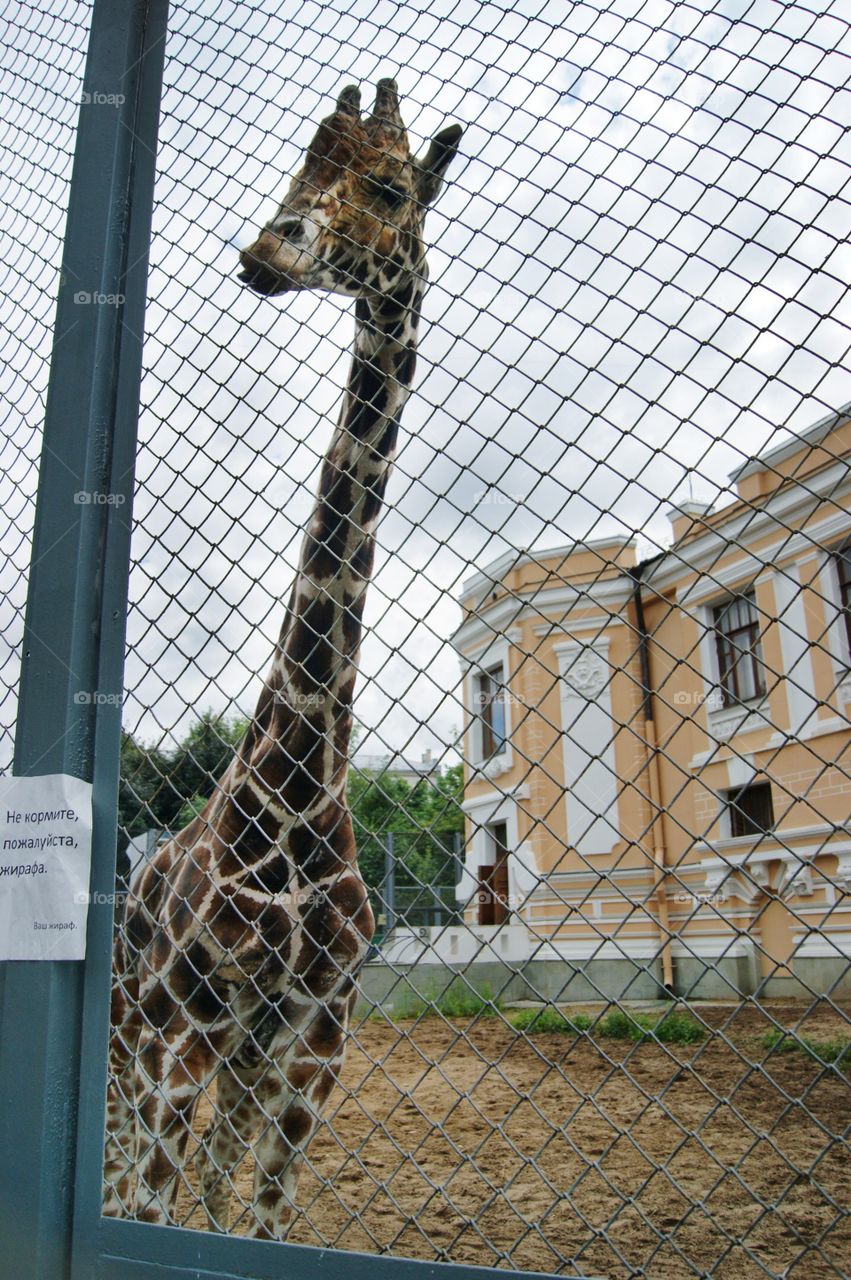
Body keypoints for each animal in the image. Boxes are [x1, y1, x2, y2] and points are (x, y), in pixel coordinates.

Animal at [104, 79, 462, 1240]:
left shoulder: (311, 1046)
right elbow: (148, 1213)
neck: (305, 788)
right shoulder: (183, 1035)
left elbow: (252, 1221)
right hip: (135, 1036)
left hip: (238, 1062)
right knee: (119, 1174)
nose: (267, 248)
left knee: (210, 1179)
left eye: (390, 188)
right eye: (299, 175)